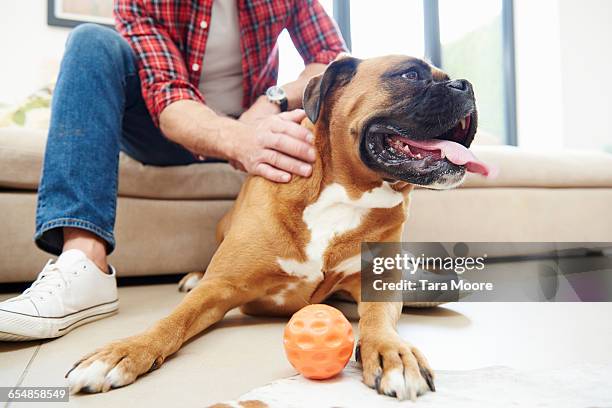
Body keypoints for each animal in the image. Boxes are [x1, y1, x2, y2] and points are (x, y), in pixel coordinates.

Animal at [65, 54, 492, 402]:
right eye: (410, 74)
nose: (467, 85)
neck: (343, 195)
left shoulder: (378, 285)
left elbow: (377, 321)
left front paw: (393, 353)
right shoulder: (219, 289)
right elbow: (170, 321)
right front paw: (123, 351)